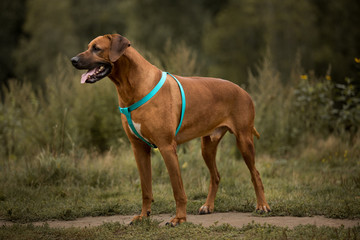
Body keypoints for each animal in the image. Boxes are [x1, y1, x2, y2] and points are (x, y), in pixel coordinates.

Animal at [71, 33, 270, 227]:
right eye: (89, 47)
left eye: (97, 48)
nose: (73, 60)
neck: (132, 85)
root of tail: (243, 91)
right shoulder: (139, 149)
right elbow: (145, 189)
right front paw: (143, 216)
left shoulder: (167, 147)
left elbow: (177, 189)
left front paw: (179, 219)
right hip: (207, 146)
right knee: (216, 176)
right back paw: (208, 206)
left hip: (244, 140)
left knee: (256, 174)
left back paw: (262, 206)